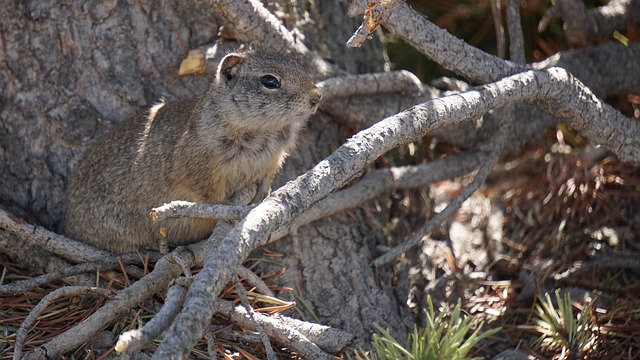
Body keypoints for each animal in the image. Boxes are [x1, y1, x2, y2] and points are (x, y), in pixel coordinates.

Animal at [62, 48, 322, 253]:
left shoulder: (274, 158)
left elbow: (267, 175)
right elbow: (211, 197)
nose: (317, 96)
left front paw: (264, 192)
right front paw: (230, 209)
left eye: (299, 66)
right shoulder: (199, 166)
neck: (265, 132)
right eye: (270, 81)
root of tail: (68, 224)